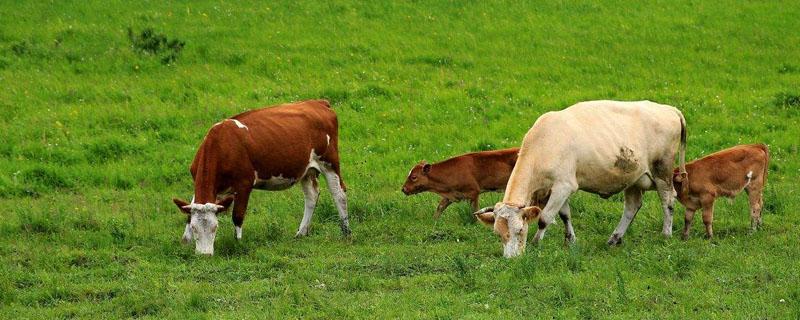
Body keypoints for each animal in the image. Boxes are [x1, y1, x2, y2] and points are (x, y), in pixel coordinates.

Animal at [172, 99, 350, 255]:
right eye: (194, 228)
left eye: (215, 227)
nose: (205, 255)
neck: (220, 144)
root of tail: (318, 102)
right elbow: (189, 211)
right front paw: (185, 241)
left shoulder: (244, 184)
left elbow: (237, 216)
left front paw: (238, 243)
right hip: (306, 170)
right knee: (312, 196)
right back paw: (301, 232)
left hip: (329, 162)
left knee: (339, 194)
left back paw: (346, 232)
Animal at [476, 100, 688, 258]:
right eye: (498, 233)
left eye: (520, 230)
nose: (511, 259)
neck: (544, 144)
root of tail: (669, 108)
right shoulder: (557, 188)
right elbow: (565, 215)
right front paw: (570, 241)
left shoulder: (564, 186)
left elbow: (545, 218)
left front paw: (536, 244)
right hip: (634, 178)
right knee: (632, 206)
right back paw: (614, 238)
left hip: (662, 171)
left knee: (668, 200)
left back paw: (666, 234)